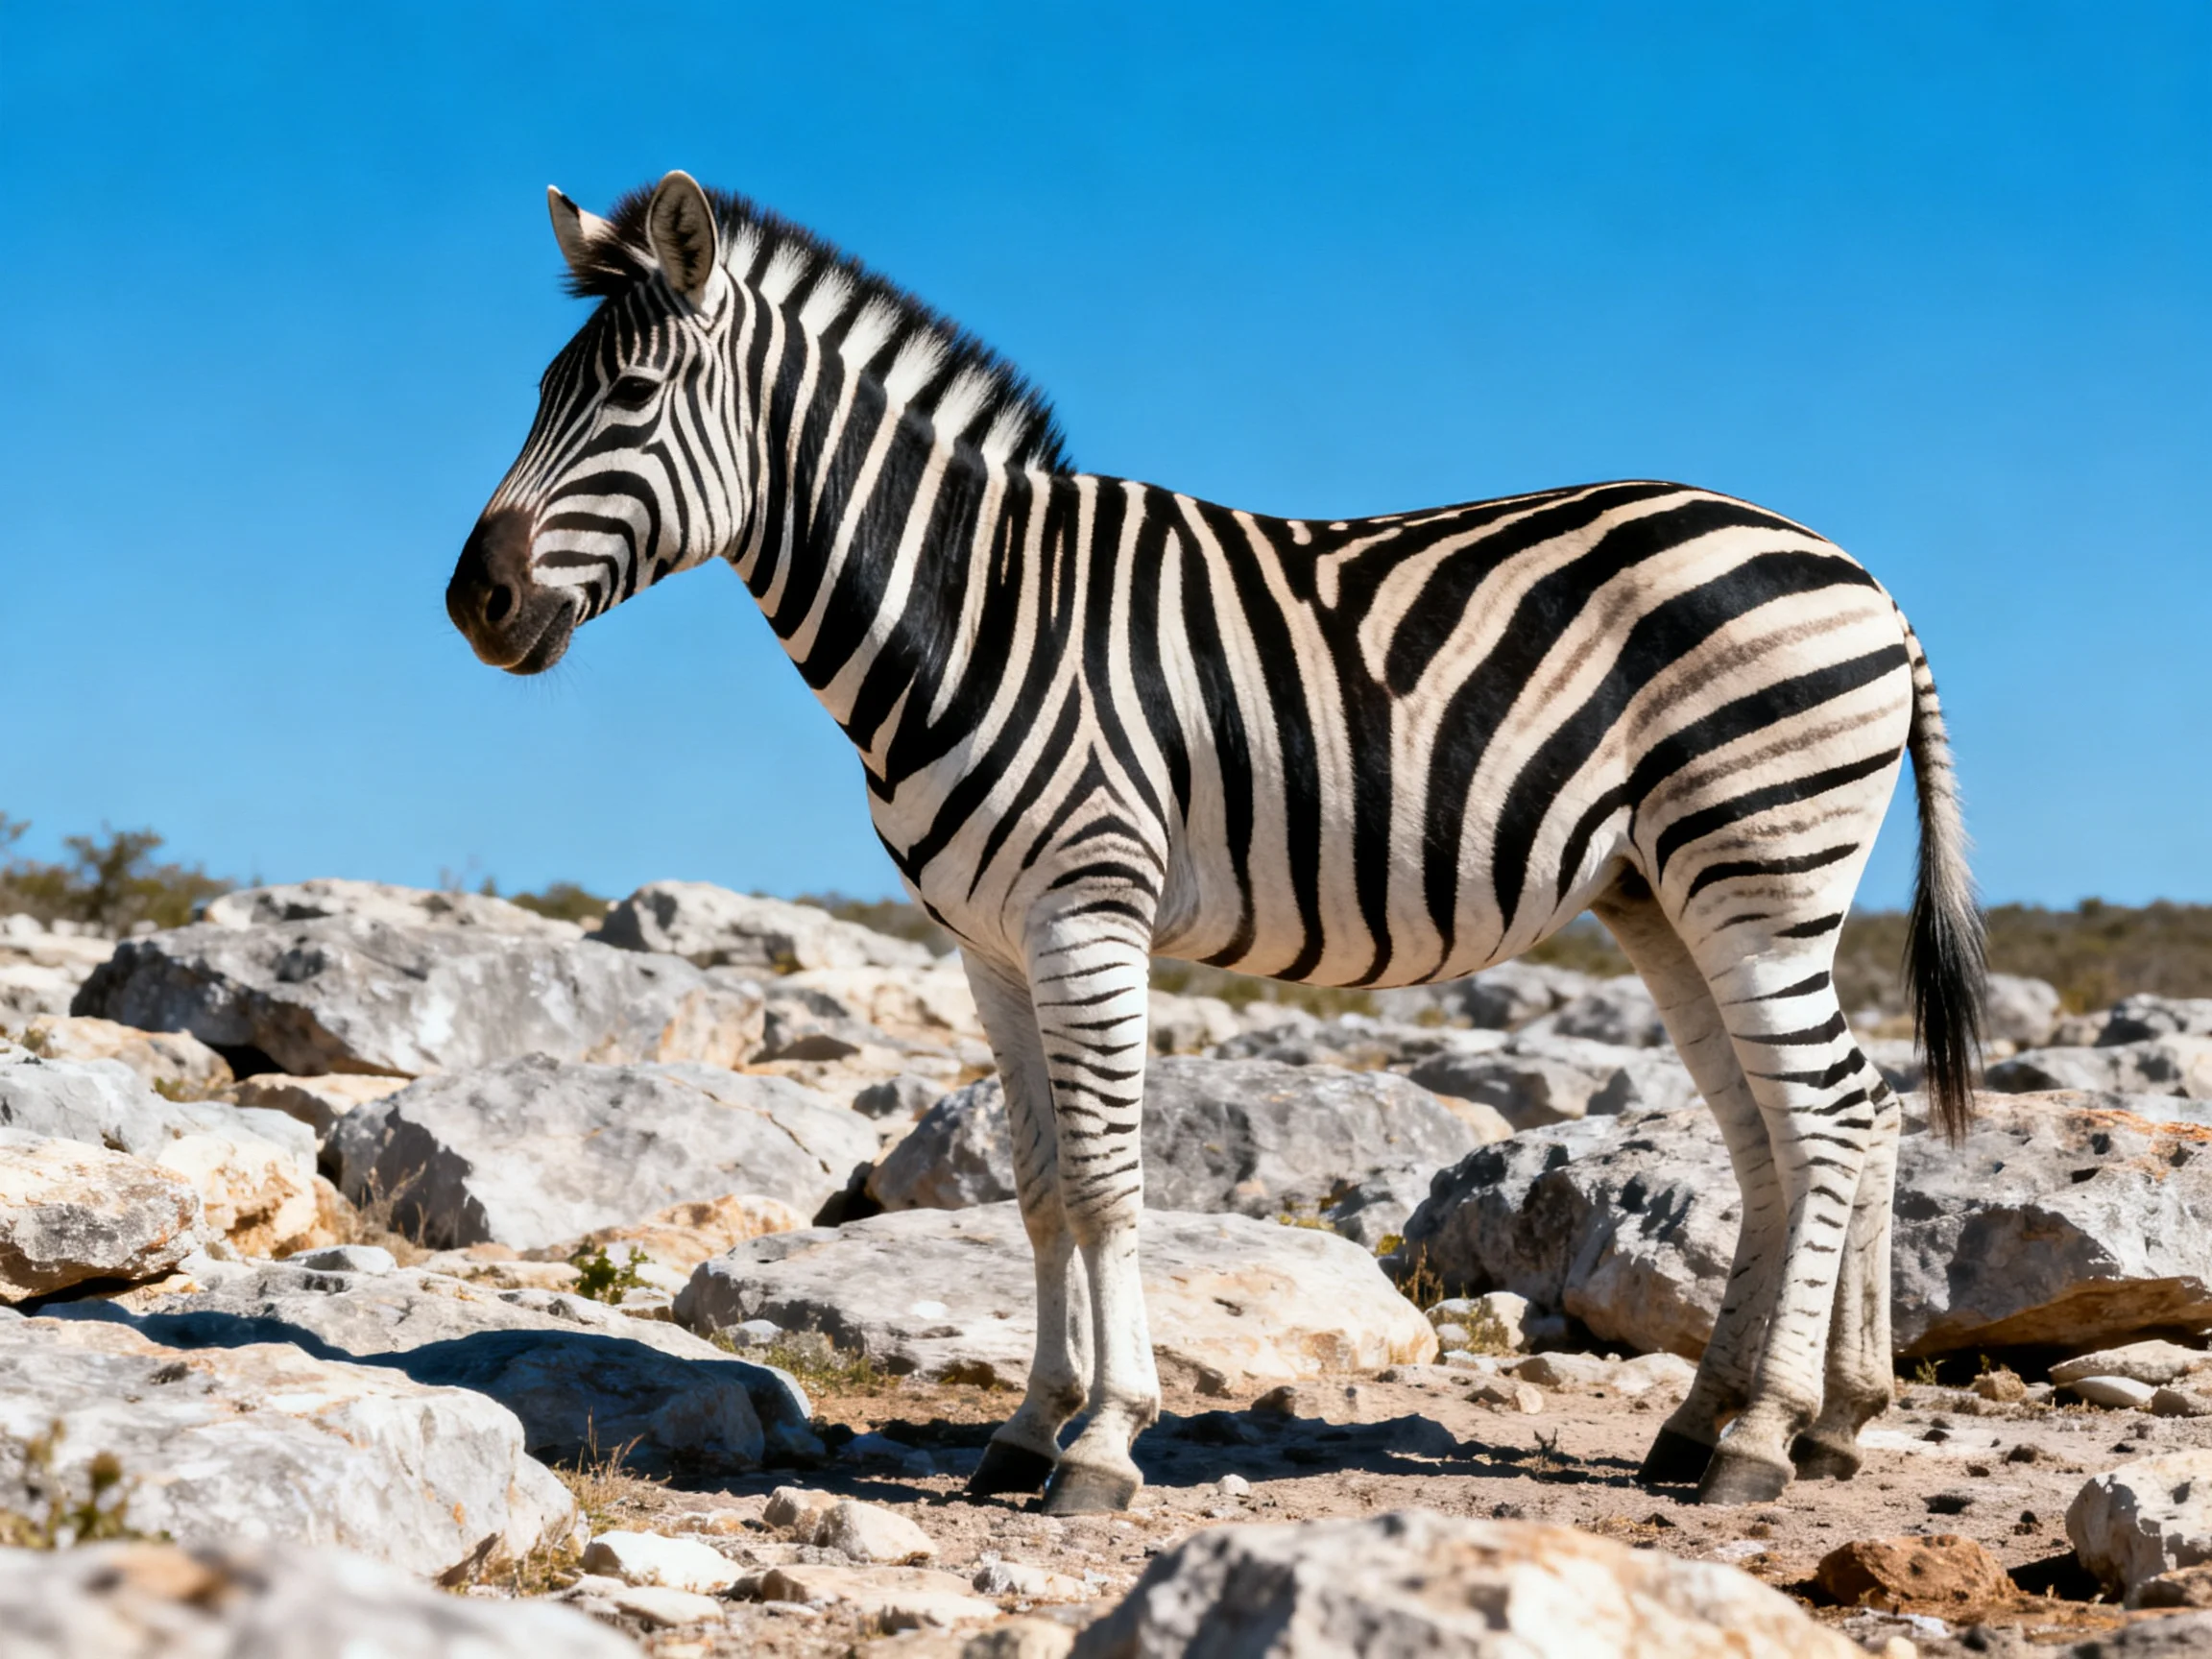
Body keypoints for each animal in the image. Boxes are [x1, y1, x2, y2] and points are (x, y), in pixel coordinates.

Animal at [448, 171, 1984, 1512]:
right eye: (535, 397)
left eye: (633, 398)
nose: (475, 602)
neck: (973, 607)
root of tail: (1867, 578)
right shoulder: (987, 945)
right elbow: (1040, 1190)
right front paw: (1022, 1432)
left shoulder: (1087, 912)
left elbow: (1109, 1180)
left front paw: (1101, 1445)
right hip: (1663, 894)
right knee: (1803, 1128)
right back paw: (1767, 1422)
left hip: (1758, 872)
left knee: (1833, 1113)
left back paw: (1766, 1438)